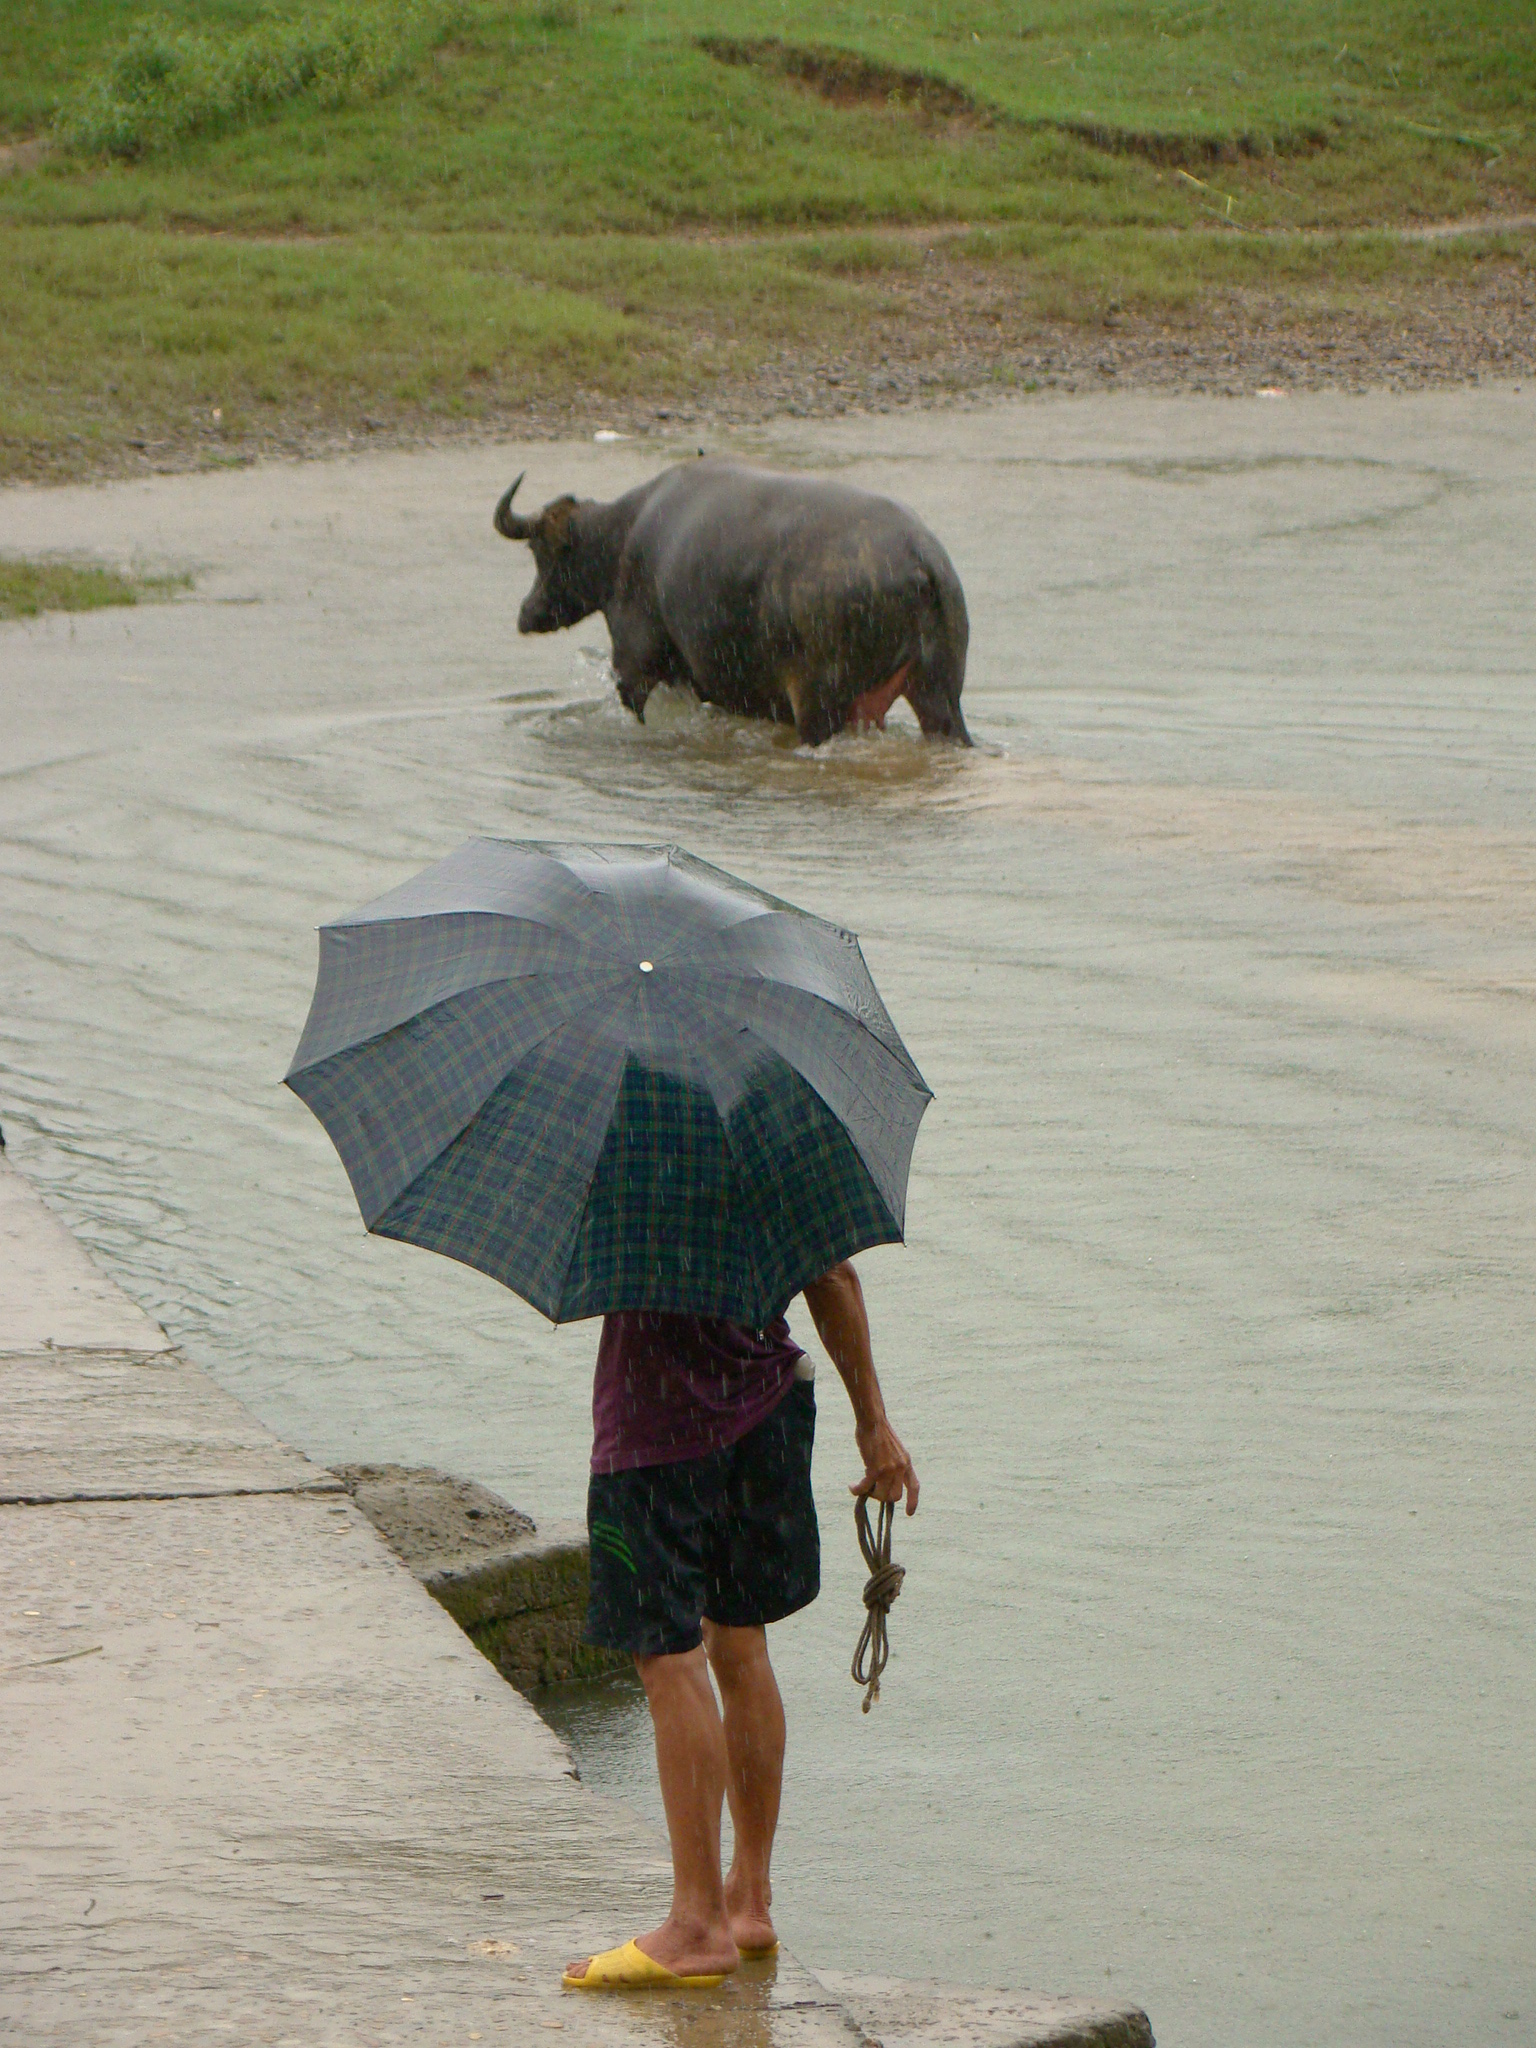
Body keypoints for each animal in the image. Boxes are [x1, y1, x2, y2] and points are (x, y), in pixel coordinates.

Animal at [493, 458, 970, 746]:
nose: (525, 613)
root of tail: (919, 557)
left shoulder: (637, 670)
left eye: (539, 551)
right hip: (940, 694)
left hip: (820, 705)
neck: (623, 537)